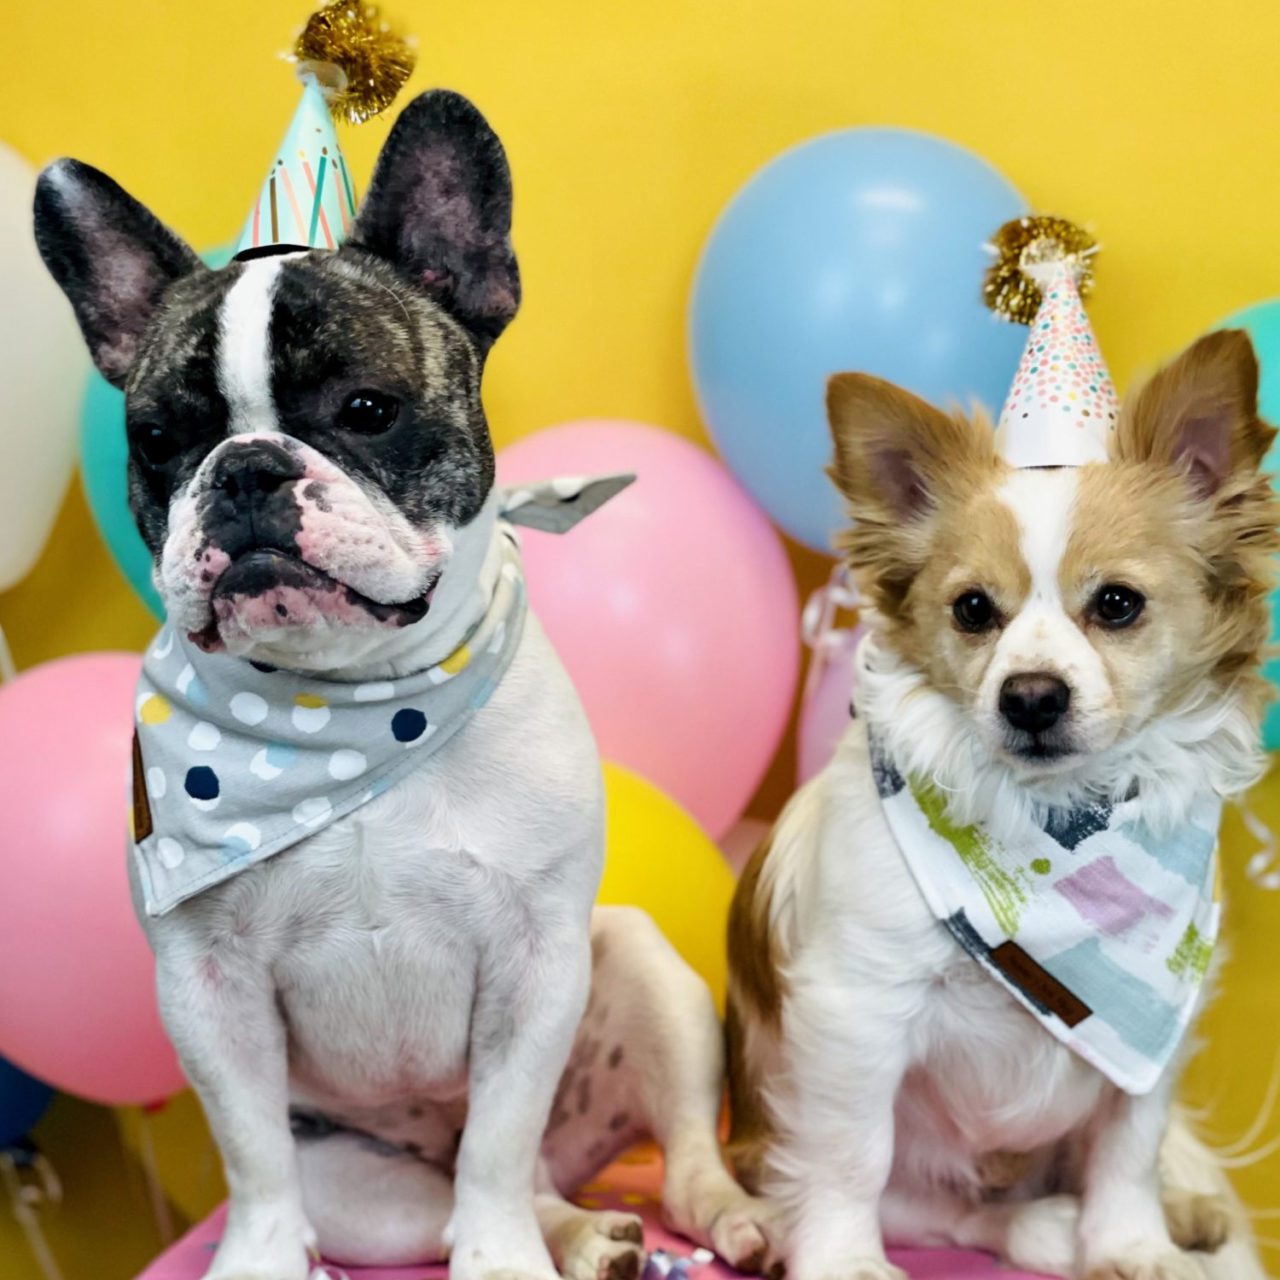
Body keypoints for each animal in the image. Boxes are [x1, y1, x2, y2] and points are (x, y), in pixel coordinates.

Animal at [732, 332, 1280, 1280]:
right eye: (973, 610)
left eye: (1118, 604)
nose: (1029, 696)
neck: (1056, 830)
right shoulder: (855, 1007)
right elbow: (852, 1156)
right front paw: (842, 1259)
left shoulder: (1154, 1036)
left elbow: (1130, 1146)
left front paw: (1133, 1246)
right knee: (942, 1209)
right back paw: (1039, 1227)